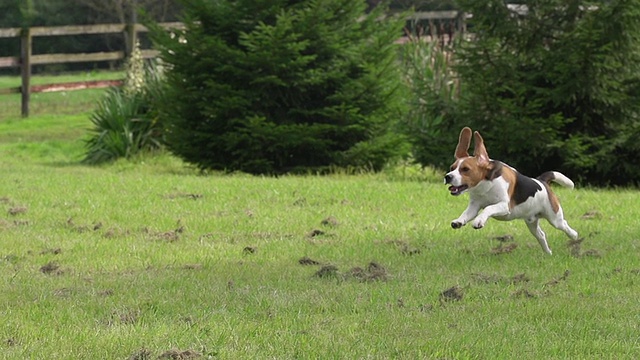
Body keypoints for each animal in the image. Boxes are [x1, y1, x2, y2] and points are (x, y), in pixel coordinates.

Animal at [444, 126, 580, 253]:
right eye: (452, 168)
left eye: (465, 169)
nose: (447, 176)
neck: (485, 186)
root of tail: (542, 181)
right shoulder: (474, 206)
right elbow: (466, 213)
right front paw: (459, 221)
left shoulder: (504, 206)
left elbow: (489, 208)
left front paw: (479, 220)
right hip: (531, 222)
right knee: (541, 235)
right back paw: (548, 253)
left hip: (554, 218)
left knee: (564, 225)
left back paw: (574, 235)